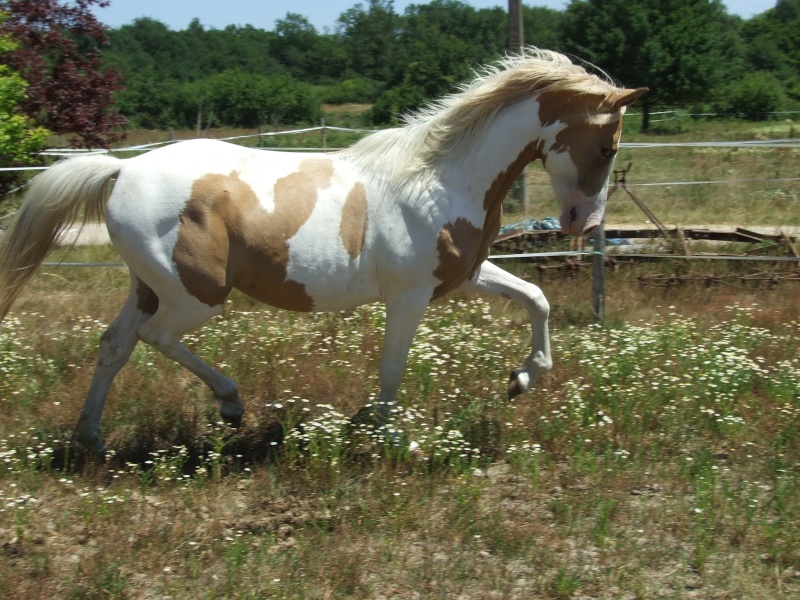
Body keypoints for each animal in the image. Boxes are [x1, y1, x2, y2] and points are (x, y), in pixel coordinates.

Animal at [0, 50, 644, 454]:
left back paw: (90, 438)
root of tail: (122, 169)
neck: (440, 178)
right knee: (155, 338)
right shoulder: (409, 296)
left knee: (115, 345)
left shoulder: (464, 276)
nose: (583, 223)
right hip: (195, 295)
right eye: (609, 145)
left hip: (148, 286)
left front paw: (523, 378)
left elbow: (535, 297)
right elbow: (392, 368)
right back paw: (231, 405)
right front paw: (382, 435)